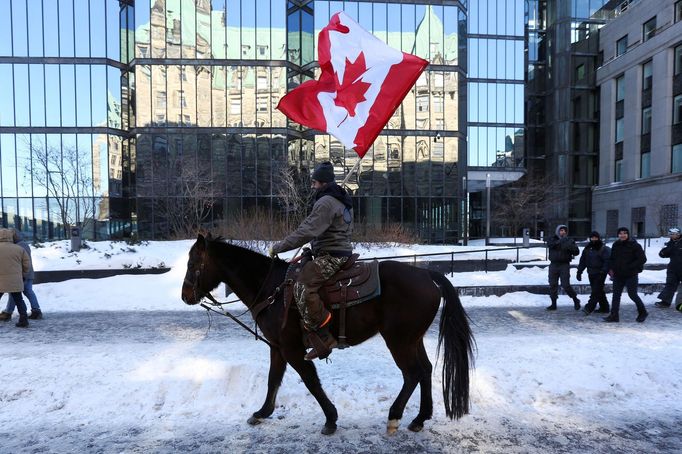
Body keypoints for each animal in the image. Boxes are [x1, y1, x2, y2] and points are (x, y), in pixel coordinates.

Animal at [181, 234, 472, 436]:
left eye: (193, 263)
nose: (185, 296)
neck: (272, 289)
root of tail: (426, 273)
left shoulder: (292, 349)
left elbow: (311, 382)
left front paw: (331, 419)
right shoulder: (277, 347)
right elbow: (273, 380)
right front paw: (262, 412)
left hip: (398, 340)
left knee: (412, 373)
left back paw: (394, 417)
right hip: (413, 339)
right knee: (426, 369)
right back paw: (420, 418)